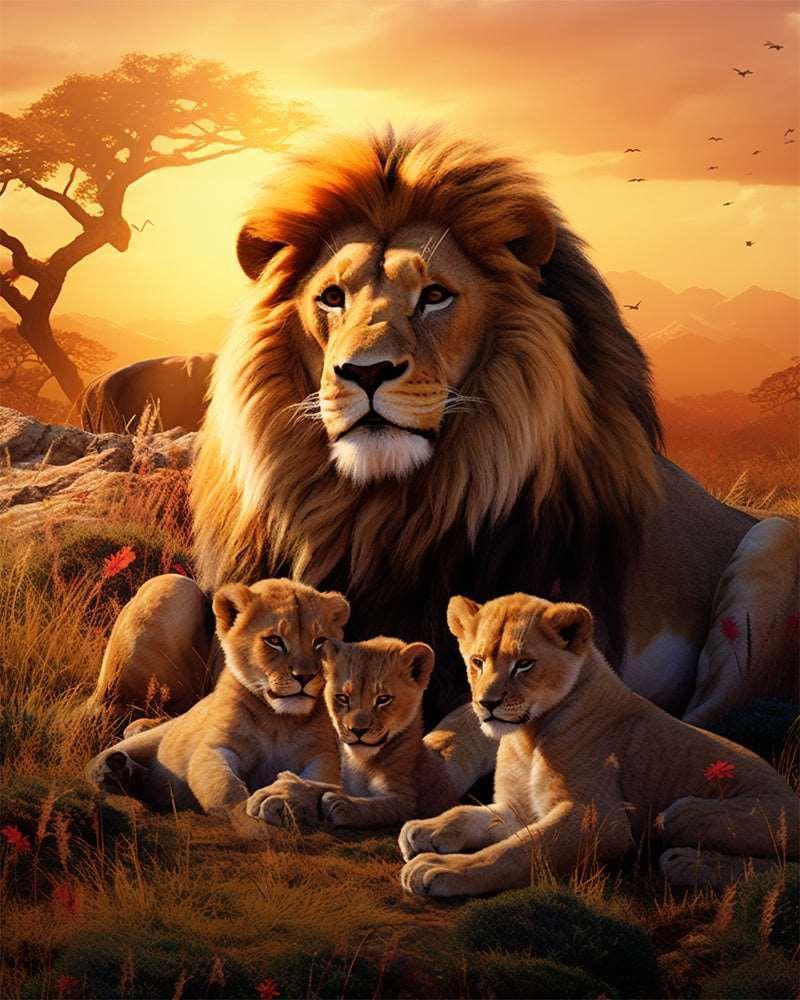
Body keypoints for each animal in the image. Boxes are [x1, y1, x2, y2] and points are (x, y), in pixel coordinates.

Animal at [85, 579, 347, 822]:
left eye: (320, 642)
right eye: (274, 641)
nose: (305, 677)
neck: (278, 721)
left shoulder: (323, 754)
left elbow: (319, 780)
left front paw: (282, 797)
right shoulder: (217, 746)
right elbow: (224, 787)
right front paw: (245, 817)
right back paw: (114, 769)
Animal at [93, 125, 798, 797]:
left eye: (434, 296)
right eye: (331, 297)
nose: (364, 372)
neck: (379, 512)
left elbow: (461, 731)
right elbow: (173, 632)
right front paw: (136, 744)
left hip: (774, 543)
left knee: (709, 723)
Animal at [247, 636, 460, 828]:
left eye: (384, 699)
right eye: (342, 698)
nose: (358, 730)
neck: (361, 763)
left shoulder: (409, 800)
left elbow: (380, 807)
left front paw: (340, 804)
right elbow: (320, 784)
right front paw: (278, 793)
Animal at [399, 593, 799, 897]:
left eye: (524, 665)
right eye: (478, 661)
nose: (487, 703)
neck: (526, 737)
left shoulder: (601, 820)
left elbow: (515, 852)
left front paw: (441, 870)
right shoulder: (520, 809)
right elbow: (468, 813)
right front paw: (425, 829)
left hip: (680, 811)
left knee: (783, 870)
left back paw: (689, 863)